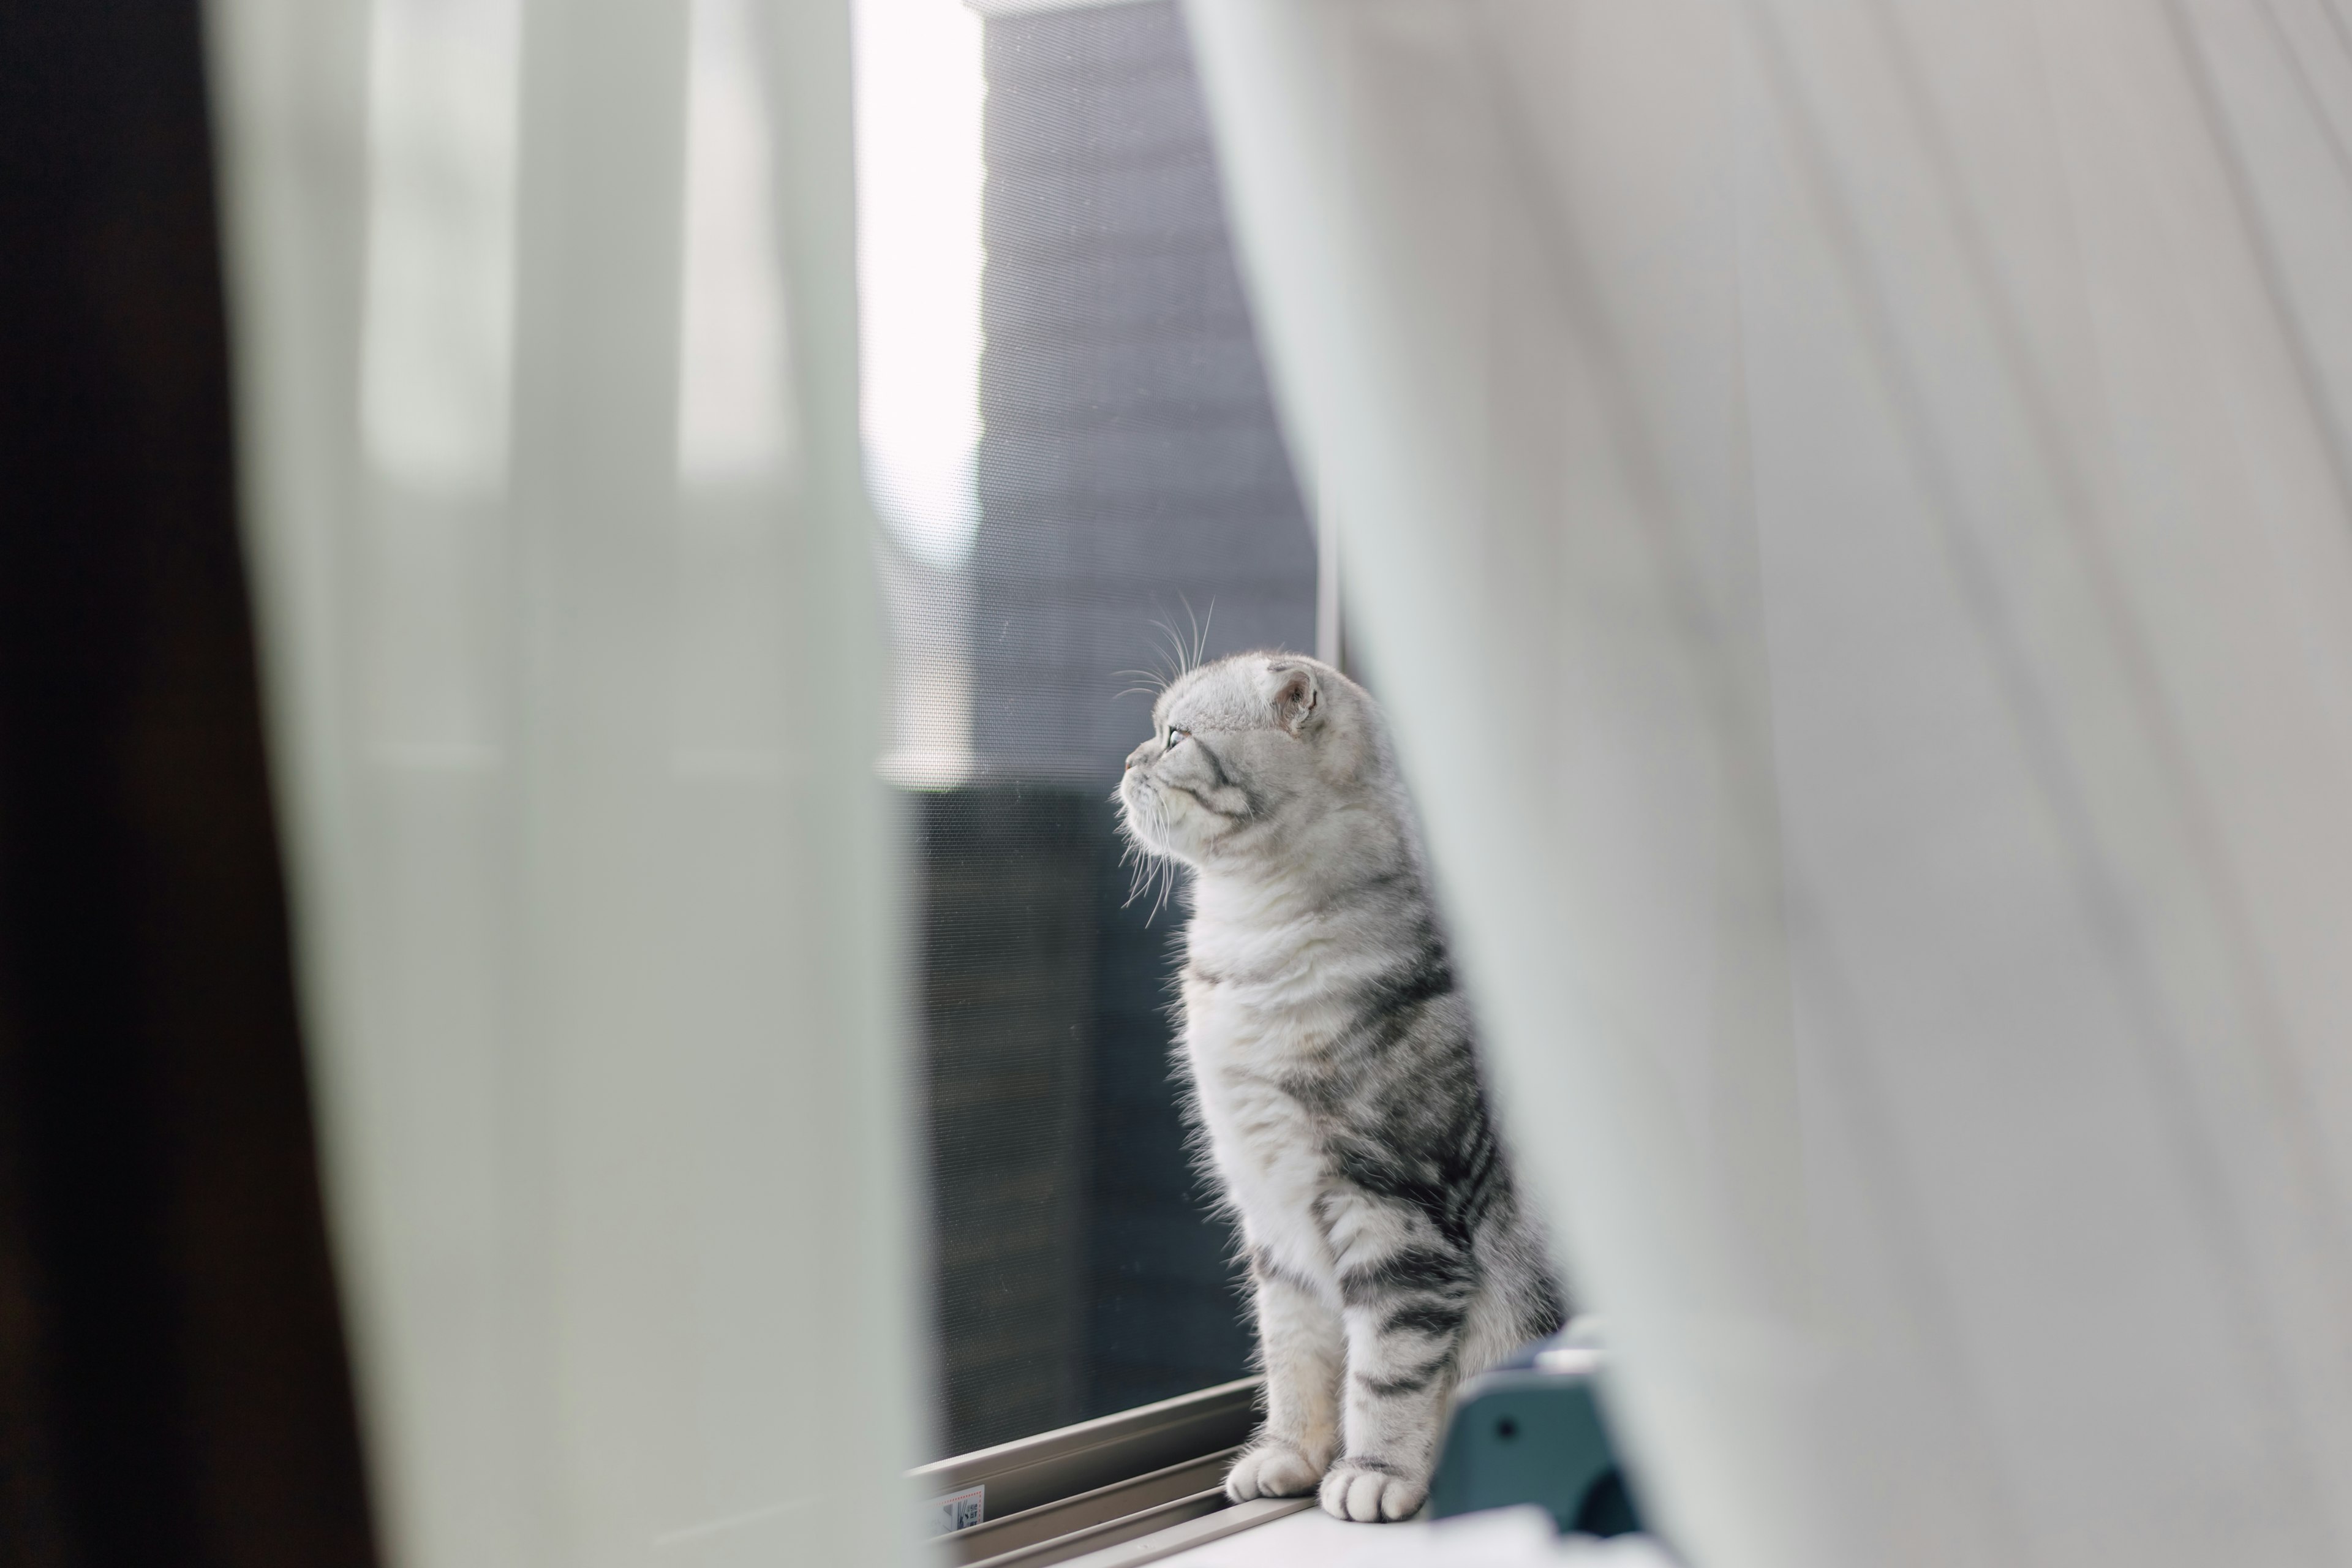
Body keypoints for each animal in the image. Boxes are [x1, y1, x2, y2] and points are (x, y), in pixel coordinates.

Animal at [1115, 649, 1561, 1523]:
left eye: (1175, 736)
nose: (1125, 761)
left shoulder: (1396, 1216)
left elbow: (1386, 1373)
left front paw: (1373, 1473)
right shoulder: (1275, 1223)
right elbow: (1294, 1360)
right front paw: (1288, 1458)